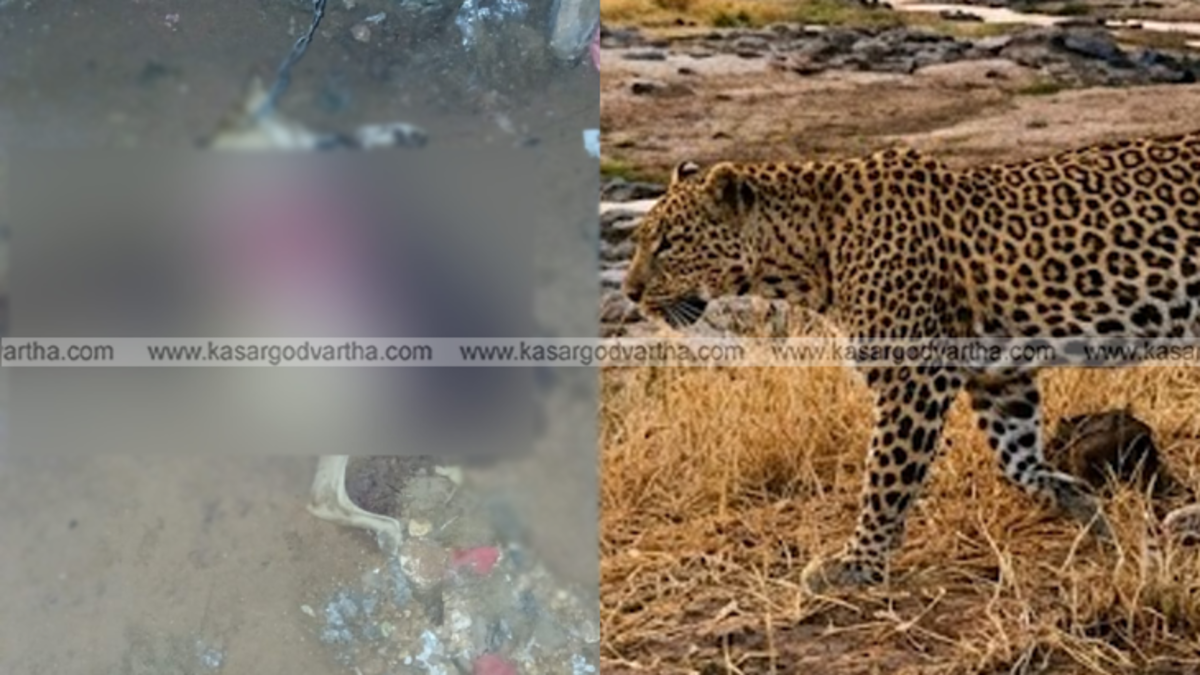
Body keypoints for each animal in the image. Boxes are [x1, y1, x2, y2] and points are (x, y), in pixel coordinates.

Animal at [621, 130, 1200, 592]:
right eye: (642, 240)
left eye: (669, 244)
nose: (629, 293)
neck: (807, 253)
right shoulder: (998, 375)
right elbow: (1015, 459)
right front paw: (1083, 507)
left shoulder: (914, 376)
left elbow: (886, 476)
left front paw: (856, 564)